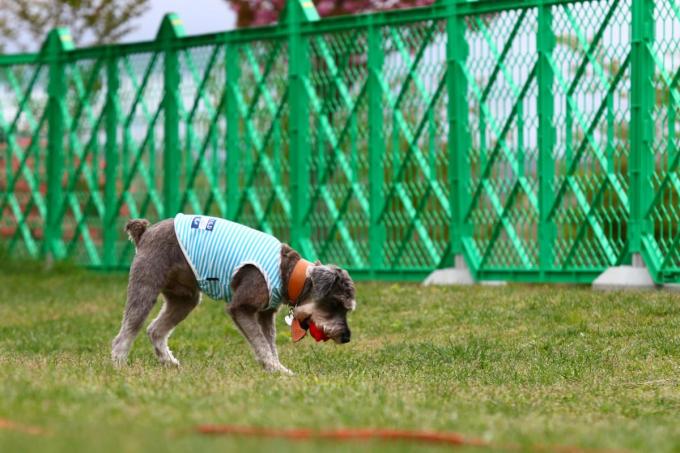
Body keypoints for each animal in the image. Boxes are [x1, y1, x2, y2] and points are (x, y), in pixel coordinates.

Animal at [111, 214, 356, 372]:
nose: (346, 337)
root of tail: (146, 232)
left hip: (185, 300)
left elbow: (270, 342)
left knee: (155, 330)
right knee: (126, 333)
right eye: (336, 304)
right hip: (145, 288)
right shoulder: (242, 308)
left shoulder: (265, 314)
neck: (288, 273)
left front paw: (276, 368)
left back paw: (170, 363)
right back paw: (120, 365)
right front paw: (276, 369)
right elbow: (260, 342)